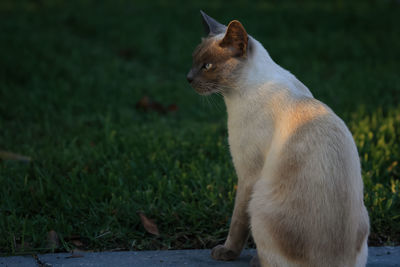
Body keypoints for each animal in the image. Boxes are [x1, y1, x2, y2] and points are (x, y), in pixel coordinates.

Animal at [187, 11, 368, 267]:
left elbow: (237, 222)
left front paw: (226, 252)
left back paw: (255, 260)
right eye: (194, 62)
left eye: (207, 66)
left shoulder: (247, 175)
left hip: (259, 201)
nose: (188, 78)